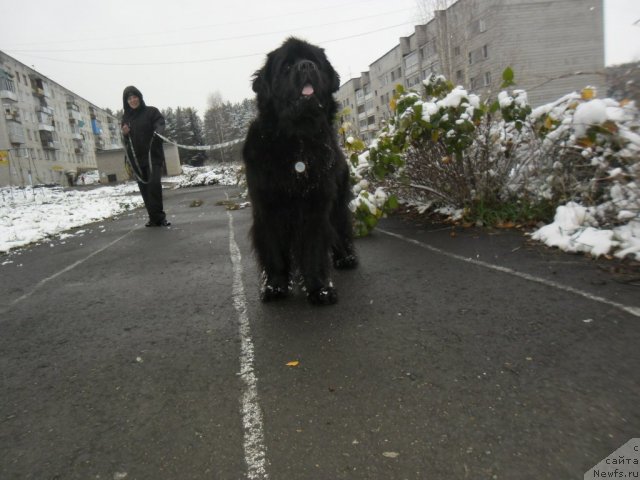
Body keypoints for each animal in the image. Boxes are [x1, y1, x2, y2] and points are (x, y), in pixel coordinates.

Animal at [242, 36, 358, 304]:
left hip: (338, 201)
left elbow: (314, 249)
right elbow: (273, 251)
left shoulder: (316, 206)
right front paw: (275, 288)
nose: (306, 66)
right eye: (286, 66)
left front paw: (319, 289)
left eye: (314, 61)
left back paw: (346, 257)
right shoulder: (267, 208)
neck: (298, 140)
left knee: (341, 227)